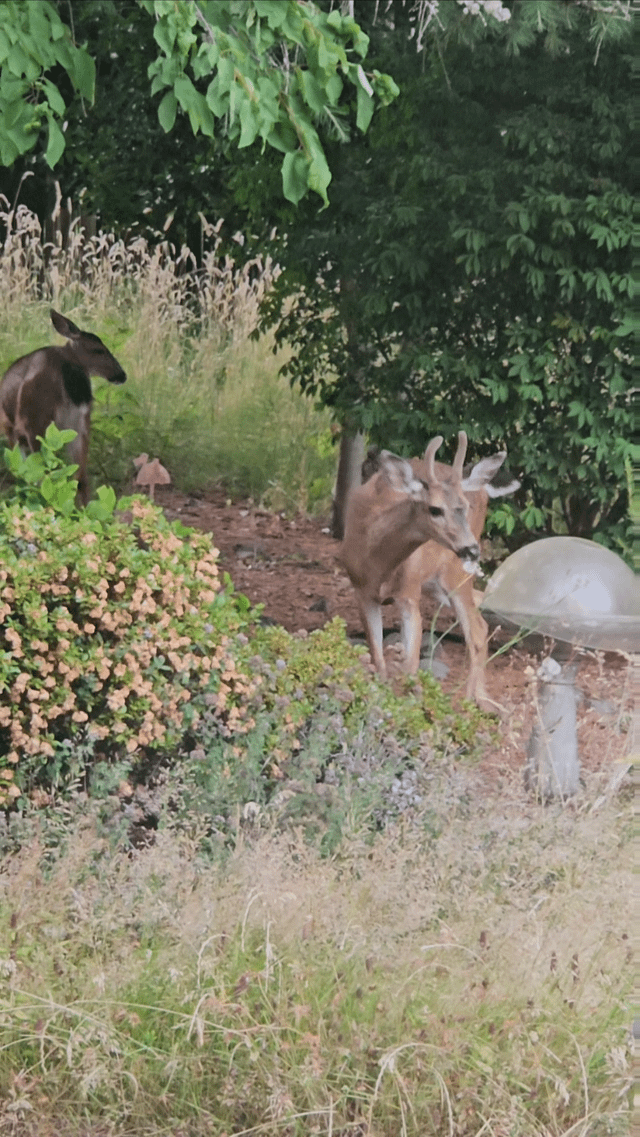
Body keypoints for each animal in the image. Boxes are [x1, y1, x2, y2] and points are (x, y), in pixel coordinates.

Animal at [340, 432, 519, 710]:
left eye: (464, 506)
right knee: (481, 612)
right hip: (437, 584)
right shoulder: (362, 592)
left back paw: (473, 702)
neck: (378, 564)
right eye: (435, 509)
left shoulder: (409, 593)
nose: (472, 549)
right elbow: (378, 657)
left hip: (455, 575)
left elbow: (410, 664)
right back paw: (481, 697)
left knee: (477, 629)